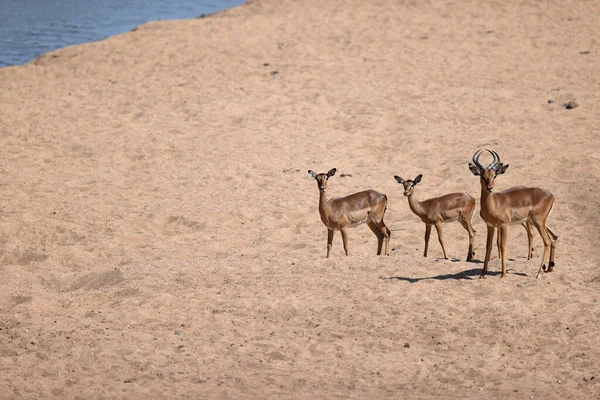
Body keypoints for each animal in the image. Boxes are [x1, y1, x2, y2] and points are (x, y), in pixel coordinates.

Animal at [468, 149, 556, 278]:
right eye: (483, 176)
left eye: (494, 175)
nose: (490, 188)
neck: (493, 204)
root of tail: (551, 195)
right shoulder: (490, 226)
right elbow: (488, 246)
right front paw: (482, 275)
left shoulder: (504, 225)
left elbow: (503, 246)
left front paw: (503, 274)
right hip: (537, 222)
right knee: (552, 239)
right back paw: (548, 268)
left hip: (538, 222)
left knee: (547, 242)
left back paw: (538, 273)